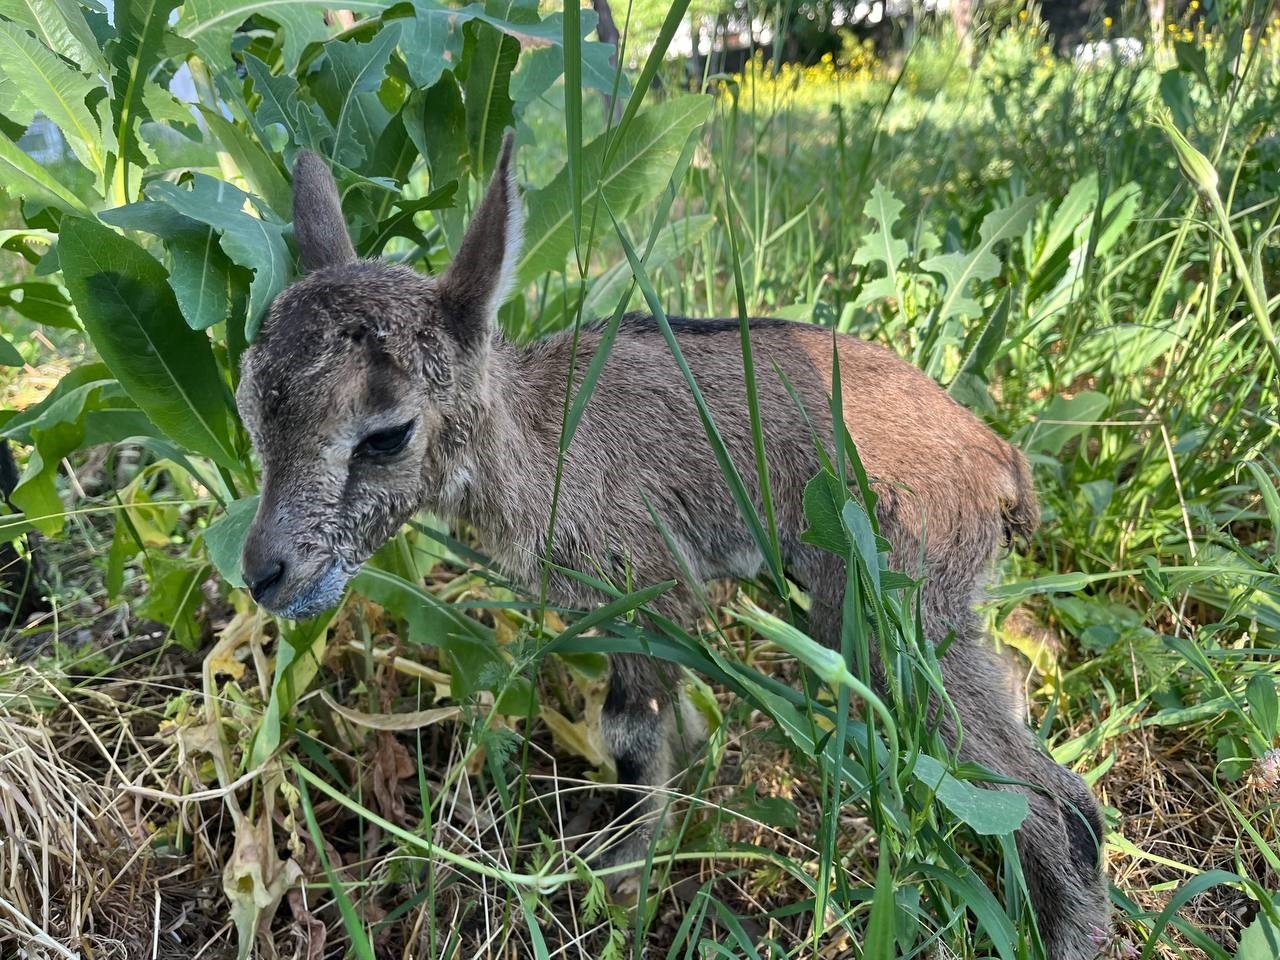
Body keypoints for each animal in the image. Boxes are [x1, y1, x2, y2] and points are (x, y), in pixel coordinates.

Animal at [238, 136, 1111, 960]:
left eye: (386, 434)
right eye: (252, 413)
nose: (265, 574)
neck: (544, 444)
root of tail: (999, 464)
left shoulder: (648, 586)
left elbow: (635, 733)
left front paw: (622, 882)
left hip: (888, 614)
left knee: (1056, 802)